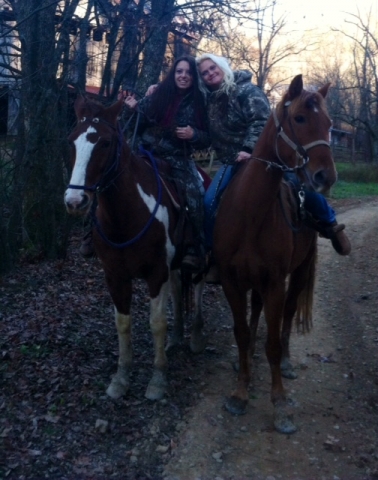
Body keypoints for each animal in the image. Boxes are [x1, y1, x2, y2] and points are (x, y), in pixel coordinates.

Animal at [65, 96, 207, 402]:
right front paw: (121, 378)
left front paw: (158, 379)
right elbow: (123, 323)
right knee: (178, 291)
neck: (128, 215)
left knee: (199, 287)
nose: (75, 201)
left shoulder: (156, 274)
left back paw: (195, 337)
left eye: (105, 143)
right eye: (72, 140)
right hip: (173, 265)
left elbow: (157, 323)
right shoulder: (115, 276)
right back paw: (177, 339)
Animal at [214, 76, 336, 436]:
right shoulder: (232, 281)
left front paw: (280, 402)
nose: (325, 177)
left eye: (330, 124)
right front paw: (240, 392)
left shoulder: (275, 285)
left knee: (288, 315)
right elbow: (241, 333)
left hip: (298, 274)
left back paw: (286, 363)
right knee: (255, 314)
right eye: (299, 118)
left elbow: (274, 341)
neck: (249, 213)